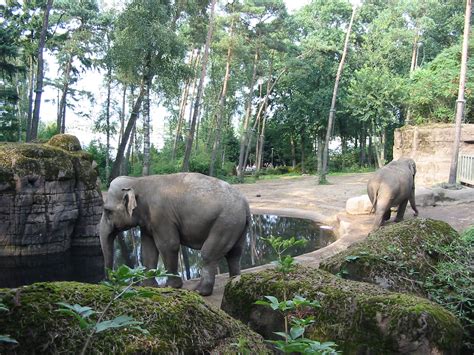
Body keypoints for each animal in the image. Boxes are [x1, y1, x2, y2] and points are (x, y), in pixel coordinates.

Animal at [98, 174, 250, 296]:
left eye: (107, 211)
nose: (108, 281)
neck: (138, 181)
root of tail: (246, 204)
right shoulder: (148, 223)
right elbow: (148, 250)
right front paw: (148, 286)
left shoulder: (161, 216)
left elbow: (168, 245)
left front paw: (171, 286)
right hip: (237, 226)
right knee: (235, 254)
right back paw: (234, 283)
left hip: (225, 223)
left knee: (208, 254)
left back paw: (199, 291)